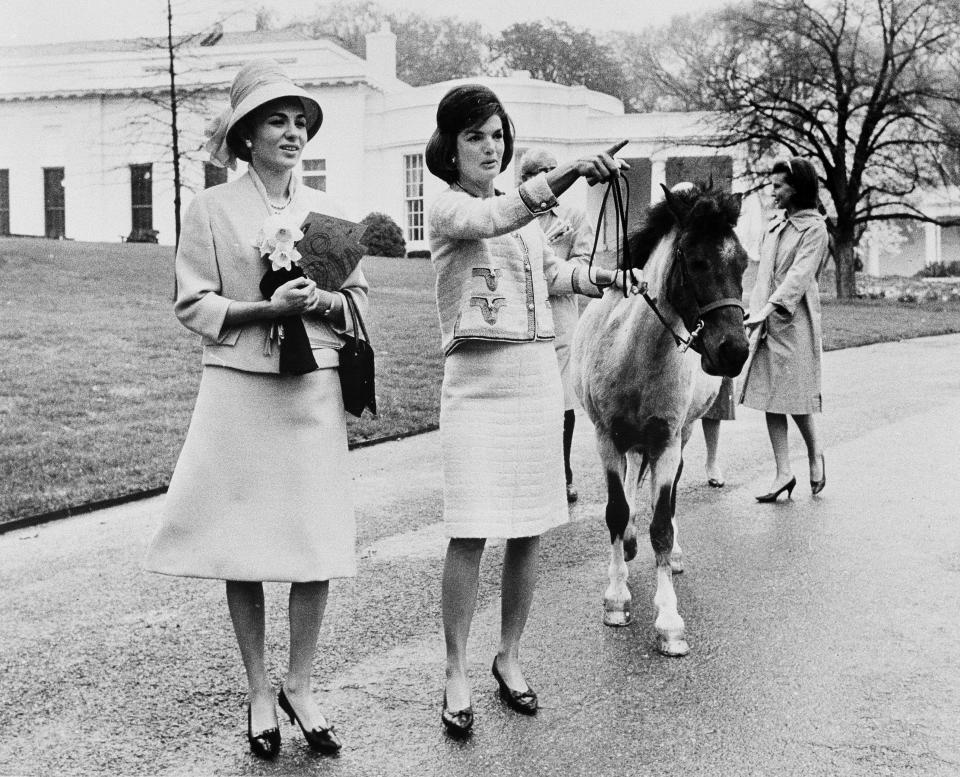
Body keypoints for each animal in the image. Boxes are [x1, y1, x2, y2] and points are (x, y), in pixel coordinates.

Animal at [568, 182, 752, 656]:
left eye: (742, 262)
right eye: (697, 260)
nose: (734, 351)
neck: (633, 356)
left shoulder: (667, 441)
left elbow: (662, 527)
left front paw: (669, 621)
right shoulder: (607, 438)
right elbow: (617, 512)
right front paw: (616, 598)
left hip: (680, 436)